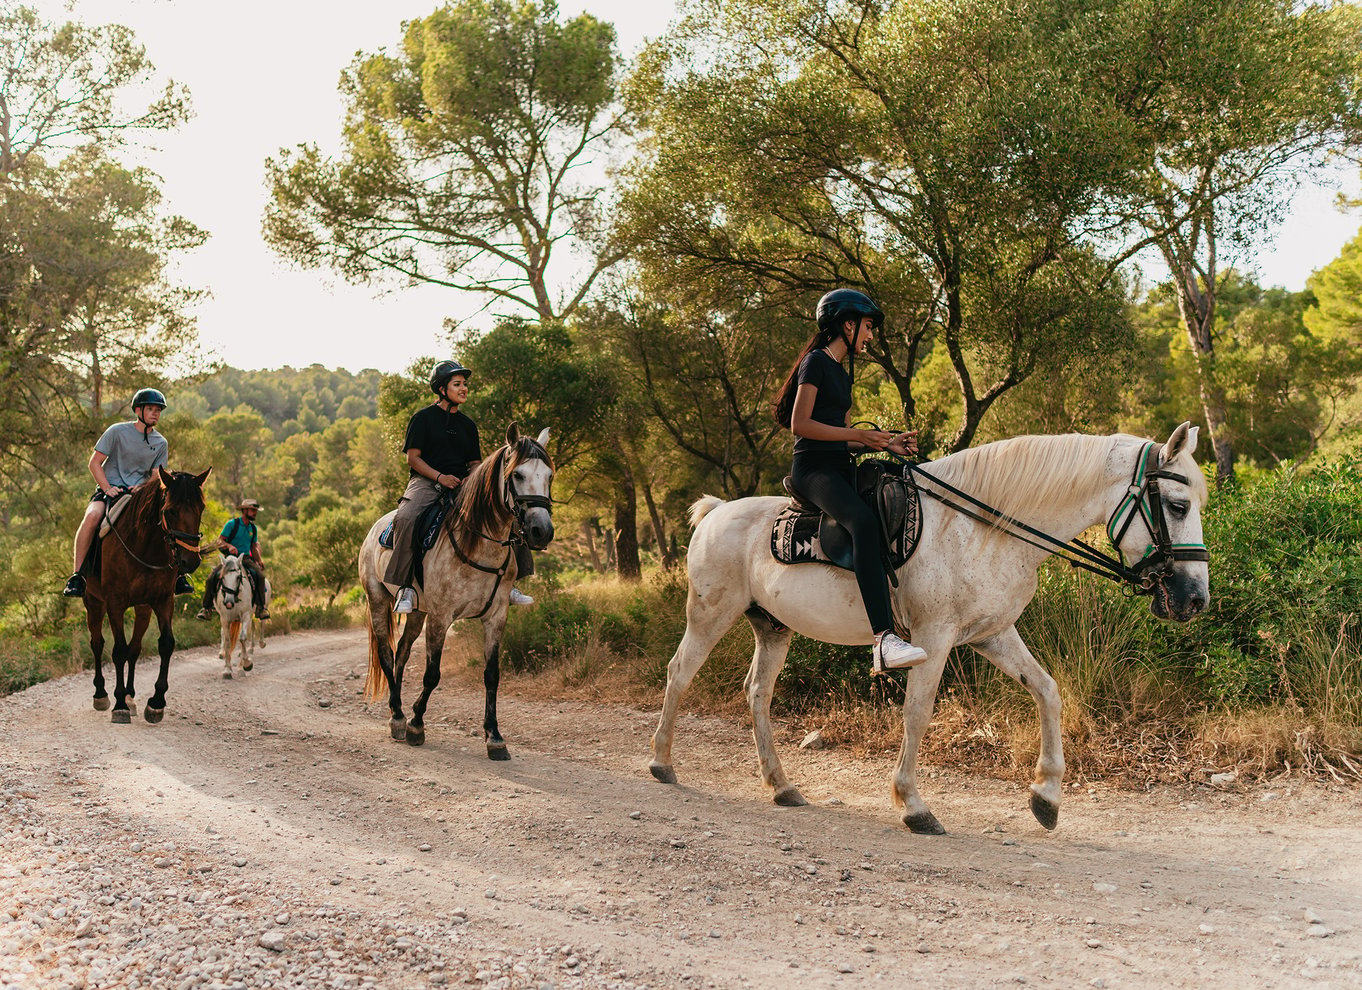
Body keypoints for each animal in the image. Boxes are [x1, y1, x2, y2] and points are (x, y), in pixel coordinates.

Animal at [84, 468, 209, 724]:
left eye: (200, 509)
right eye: (170, 510)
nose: (190, 562)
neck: (144, 546)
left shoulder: (163, 601)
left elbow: (166, 644)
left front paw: (156, 703)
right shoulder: (114, 604)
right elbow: (118, 650)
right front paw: (119, 705)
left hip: (143, 608)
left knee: (135, 648)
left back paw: (130, 697)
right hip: (94, 603)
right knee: (97, 643)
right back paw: (101, 694)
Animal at [362, 422, 558, 757]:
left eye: (549, 476)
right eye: (517, 475)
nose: (540, 532)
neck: (478, 543)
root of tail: (375, 528)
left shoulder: (496, 617)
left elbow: (492, 675)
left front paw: (494, 737)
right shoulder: (441, 617)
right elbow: (432, 674)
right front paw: (416, 724)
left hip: (418, 611)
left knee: (402, 651)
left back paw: (396, 708)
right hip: (377, 600)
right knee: (387, 654)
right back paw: (398, 717)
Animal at [651, 424, 1214, 838]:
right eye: (1178, 506)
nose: (1194, 599)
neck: (985, 527)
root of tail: (716, 512)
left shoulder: (992, 633)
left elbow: (1048, 692)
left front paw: (1047, 796)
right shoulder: (934, 636)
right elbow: (917, 714)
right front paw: (913, 805)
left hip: (773, 628)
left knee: (757, 694)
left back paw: (781, 786)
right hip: (710, 614)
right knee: (679, 674)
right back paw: (662, 764)